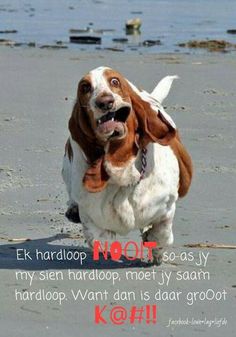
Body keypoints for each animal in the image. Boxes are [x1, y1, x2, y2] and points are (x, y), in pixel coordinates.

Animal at [61, 67, 193, 264]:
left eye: (115, 81)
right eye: (85, 87)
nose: (105, 102)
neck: (122, 178)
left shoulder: (167, 206)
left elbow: (161, 234)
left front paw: (155, 250)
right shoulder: (90, 214)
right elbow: (99, 238)